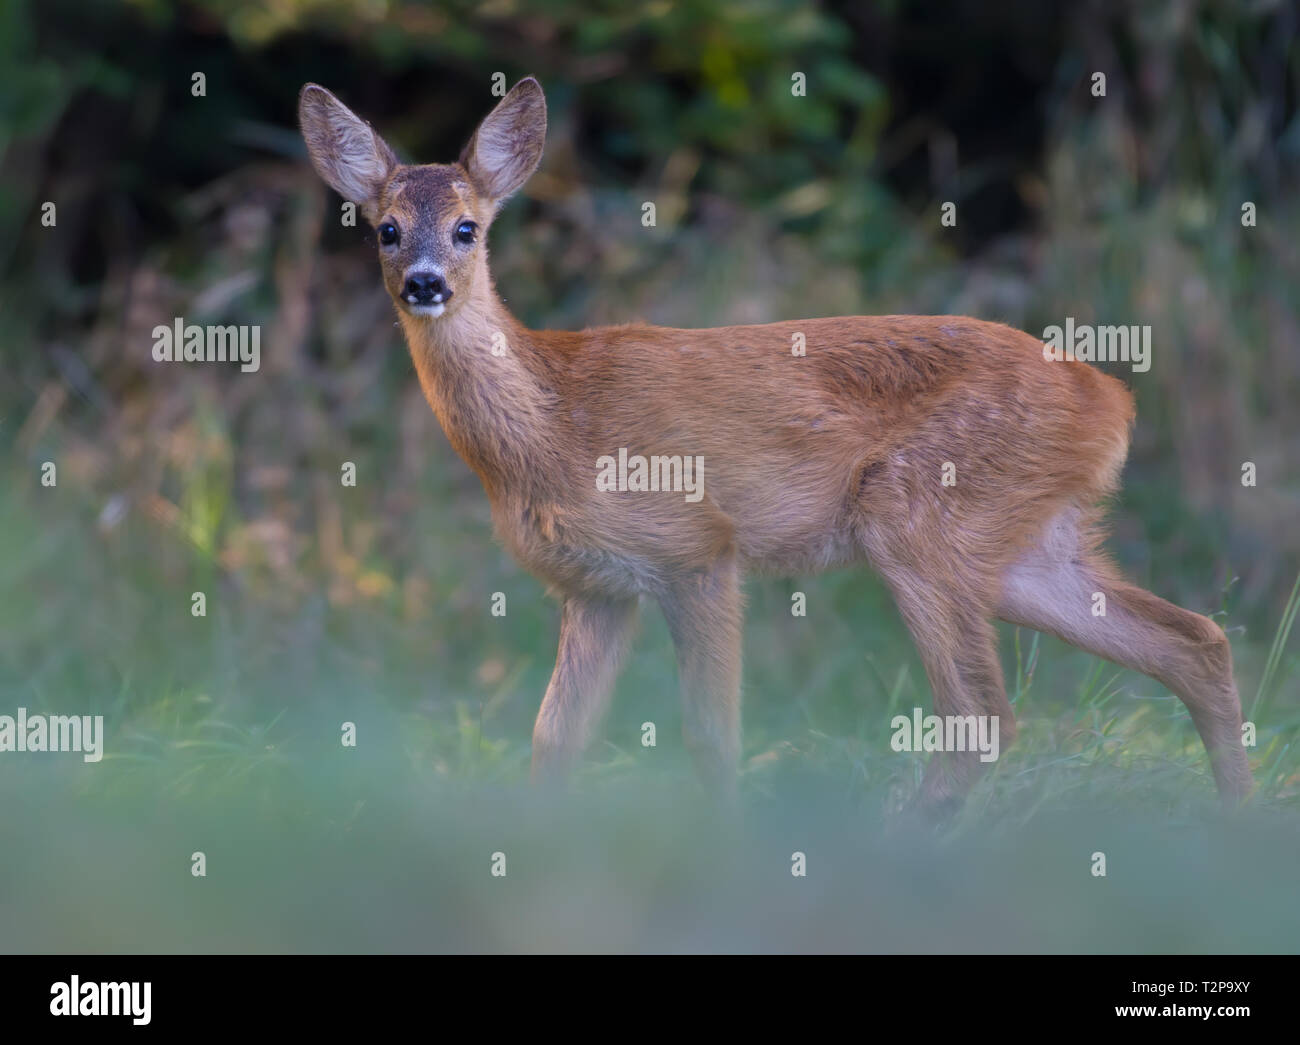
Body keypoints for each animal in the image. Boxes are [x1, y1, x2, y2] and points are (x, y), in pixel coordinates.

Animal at [295, 77, 1248, 821]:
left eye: (467, 228)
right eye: (384, 229)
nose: (425, 284)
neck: (554, 425)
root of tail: (1112, 398)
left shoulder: (700, 547)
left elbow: (711, 736)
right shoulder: (597, 588)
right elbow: (552, 741)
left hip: (918, 516)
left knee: (984, 714)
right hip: (1026, 548)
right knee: (1195, 639)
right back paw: (1238, 829)